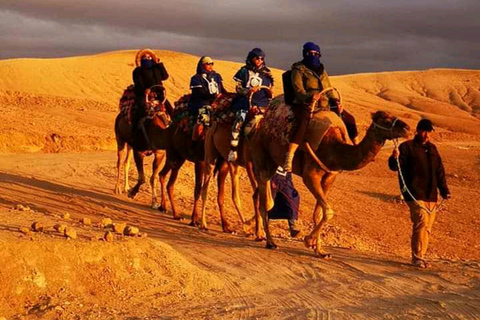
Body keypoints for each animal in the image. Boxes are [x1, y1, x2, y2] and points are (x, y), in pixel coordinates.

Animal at [249, 95, 410, 258]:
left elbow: (319, 213)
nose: (407, 128)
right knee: (264, 201)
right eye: (386, 120)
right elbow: (328, 211)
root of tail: (262, 123)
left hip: (272, 164)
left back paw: (258, 233)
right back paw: (270, 242)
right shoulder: (310, 176)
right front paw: (308, 240)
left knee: (260, 197)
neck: (334, 150)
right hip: (262, 155)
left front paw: (320, 251)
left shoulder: (329, 178)